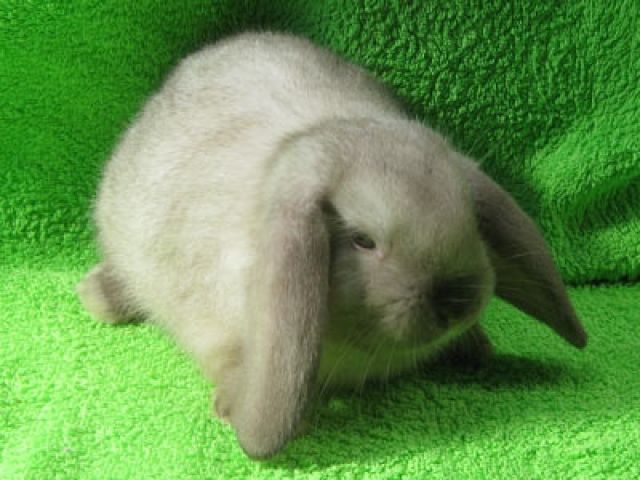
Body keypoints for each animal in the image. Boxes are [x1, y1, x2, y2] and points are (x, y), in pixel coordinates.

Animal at [77, 31, 587, 459]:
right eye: (362, 240)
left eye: (469, 217)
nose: (456, 302)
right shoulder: (214, 329)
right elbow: (228, 364)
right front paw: (237, 411)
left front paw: (478, 347)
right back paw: (96, 294)